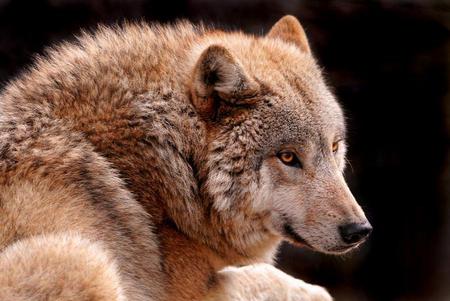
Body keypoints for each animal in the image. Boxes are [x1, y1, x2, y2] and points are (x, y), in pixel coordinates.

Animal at [0, 15, 372, 298]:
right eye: (288, 157)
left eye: (334, 147)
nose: (359, 230)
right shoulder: (188, 288)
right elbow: (274, 281)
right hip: (76, 257)